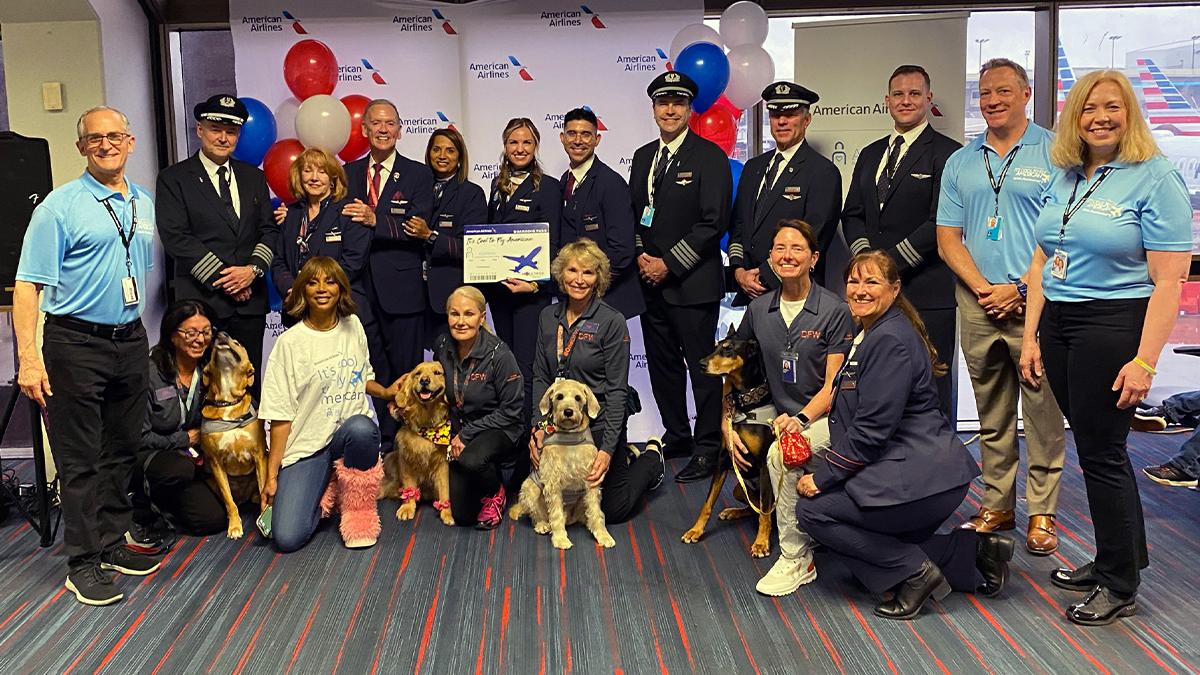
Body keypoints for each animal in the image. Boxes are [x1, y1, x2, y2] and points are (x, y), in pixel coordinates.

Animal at [379, 362, 453, 526]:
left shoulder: (442, 464)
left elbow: (445, 489)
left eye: (437, 372)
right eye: (417, 374)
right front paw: (407, 507)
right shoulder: (406, 460)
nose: (424, 380)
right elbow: (410, 487)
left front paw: (447, 512)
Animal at [508, 379, 614, 547]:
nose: (568, 411)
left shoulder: (591, 482)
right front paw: (560, 539)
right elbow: (555, 515)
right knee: (537, 516)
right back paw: (543, 525)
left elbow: (596, 512)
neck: (570, 436)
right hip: (530, 489)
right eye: (559, 397)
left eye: (578, 398)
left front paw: (603, 535)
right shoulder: (553, 483)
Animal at [686, 326, 777, 557]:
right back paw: (732, 512)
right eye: (715, 345)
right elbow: (708, 502)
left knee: (765, 512)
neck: (746, 403)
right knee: (752, 509)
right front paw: (695, 531)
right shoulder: (723, 459)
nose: (701, 363)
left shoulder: (764, 465)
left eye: (728, 349)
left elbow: (765, 511)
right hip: (739, 487)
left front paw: (761, 543)